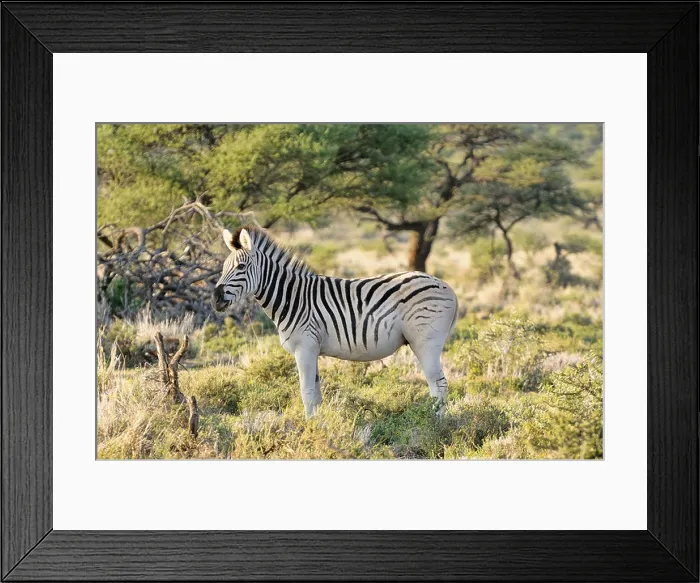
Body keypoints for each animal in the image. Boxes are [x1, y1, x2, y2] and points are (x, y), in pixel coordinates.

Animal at [213, 226, 459, 418]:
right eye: (223, 267)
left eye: (241, 267)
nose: (215, 299)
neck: (292, 297)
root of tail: (448, 287)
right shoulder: (313, 349)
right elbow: (316, 394)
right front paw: (319, 426)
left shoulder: (304, 348)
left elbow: (306, 393)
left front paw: (308, 429)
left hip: (425, 342)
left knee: (439, 385)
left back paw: (436, 425)